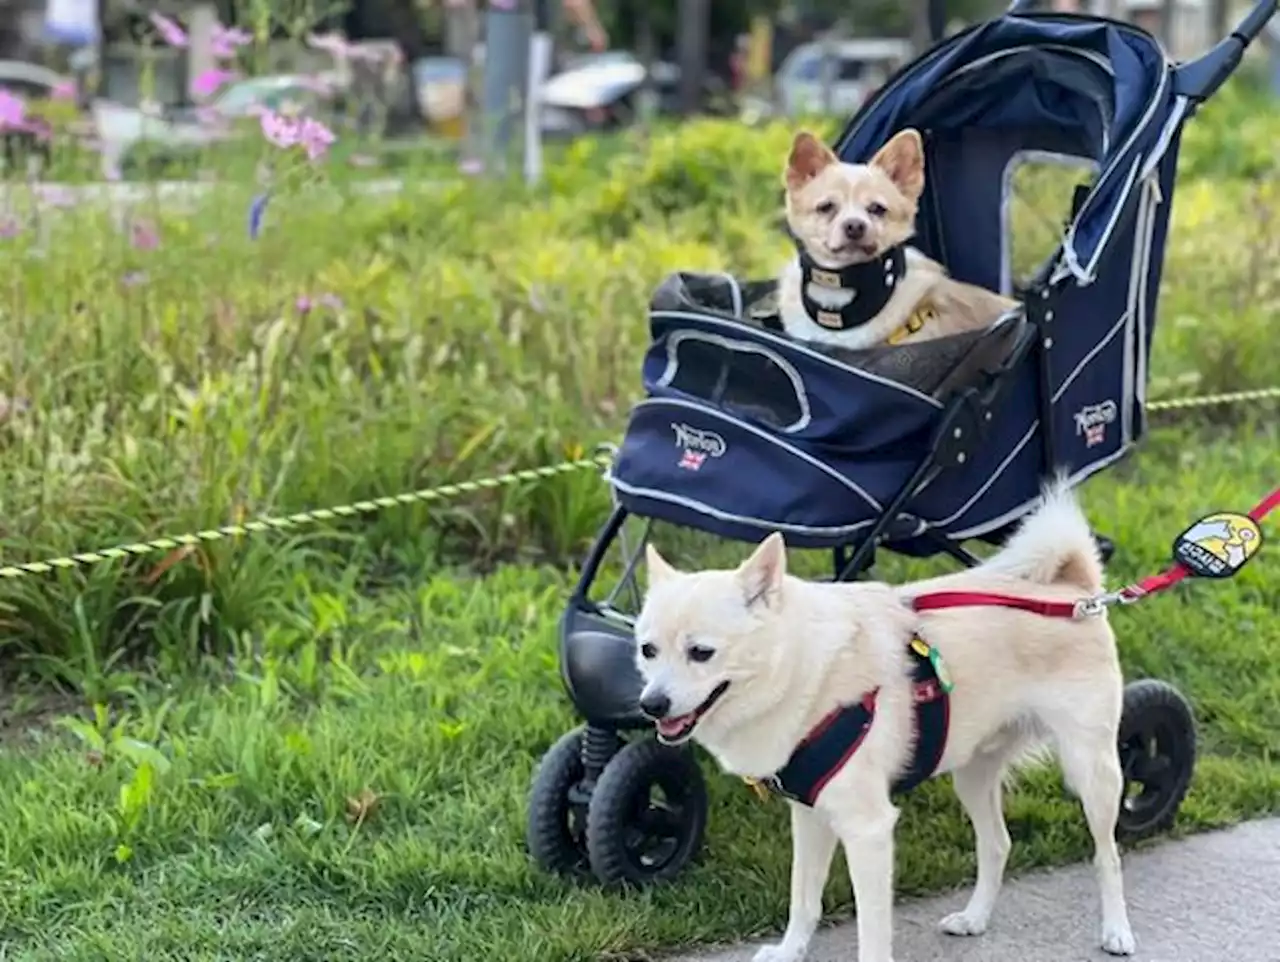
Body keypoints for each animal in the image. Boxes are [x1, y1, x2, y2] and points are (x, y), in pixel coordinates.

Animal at [634, 488, 1136, 961]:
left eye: (701, 652)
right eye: (648, 650)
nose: (651, 705)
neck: (804, 666)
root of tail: (1074, 591)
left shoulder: (869, 831)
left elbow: (872, 929)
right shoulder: (810, 817)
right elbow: (804, 901)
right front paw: (790, 951)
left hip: (1091, 774)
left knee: (1107, 856)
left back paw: (1117, 931)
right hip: (973, 776)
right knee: (997, 845)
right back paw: (975, 918)